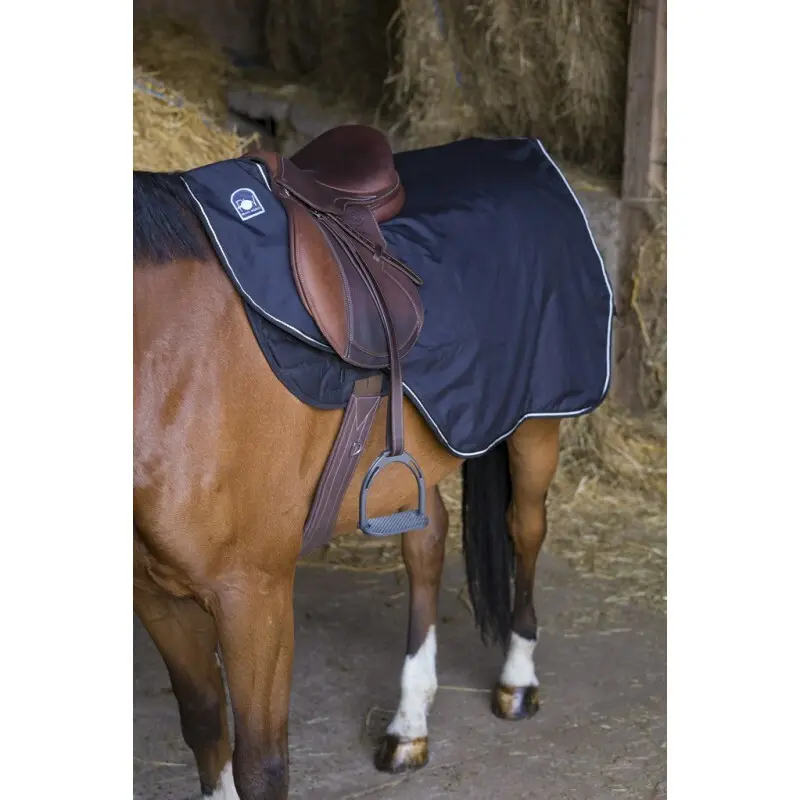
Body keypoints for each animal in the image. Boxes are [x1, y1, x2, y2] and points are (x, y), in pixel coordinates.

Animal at [134, 135, 610, 800]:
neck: (176, 359)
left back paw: (517, 681)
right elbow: (204, 726)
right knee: (428, 544)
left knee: (526, 530)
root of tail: (526, 149)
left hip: (538, 420)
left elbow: (263, 765)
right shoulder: (155, 596)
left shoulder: (253, 596)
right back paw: (409, 726)